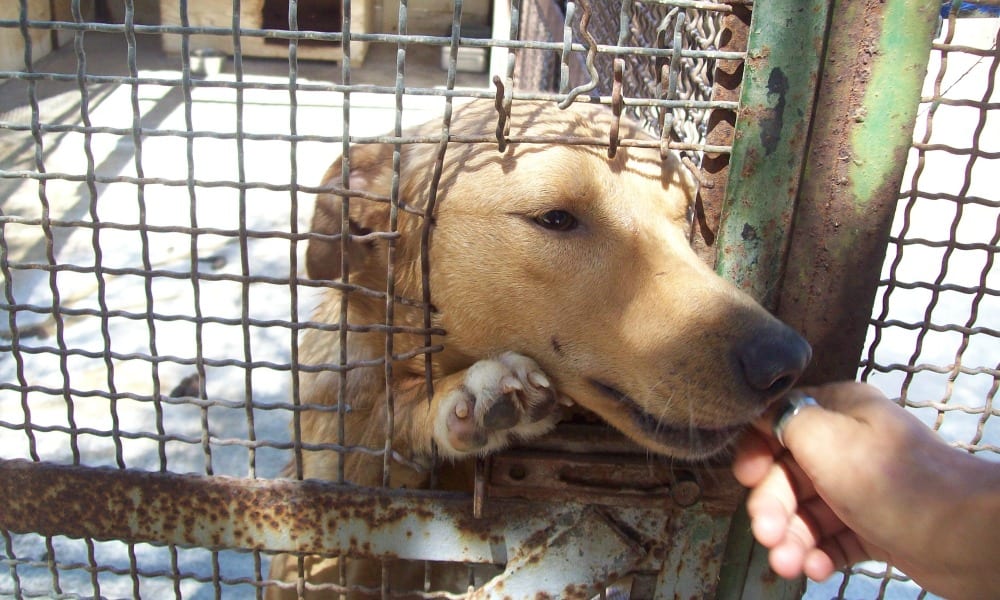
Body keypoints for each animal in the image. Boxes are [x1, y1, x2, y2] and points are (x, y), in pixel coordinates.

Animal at [268, 98, 812, 596]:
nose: (789, 360)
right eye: (554, 218)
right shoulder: (320, 533)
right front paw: (458, 398)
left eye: (685, 220)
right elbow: (373, 432)